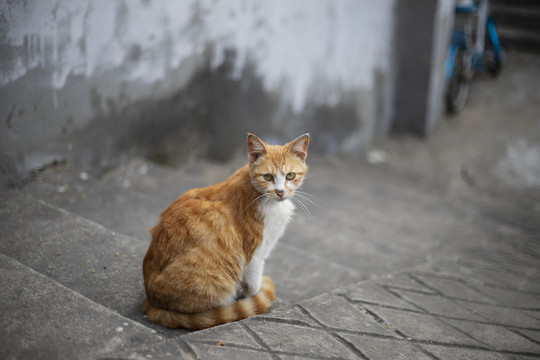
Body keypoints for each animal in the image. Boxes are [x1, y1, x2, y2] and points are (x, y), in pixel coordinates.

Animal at [141, 132, 310, 330]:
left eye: (290, 175)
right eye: (268, 177)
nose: (280, 192)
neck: (260, 195)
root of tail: (150, 303)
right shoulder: (254, 256)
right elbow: (253, 287)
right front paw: (255, 297)